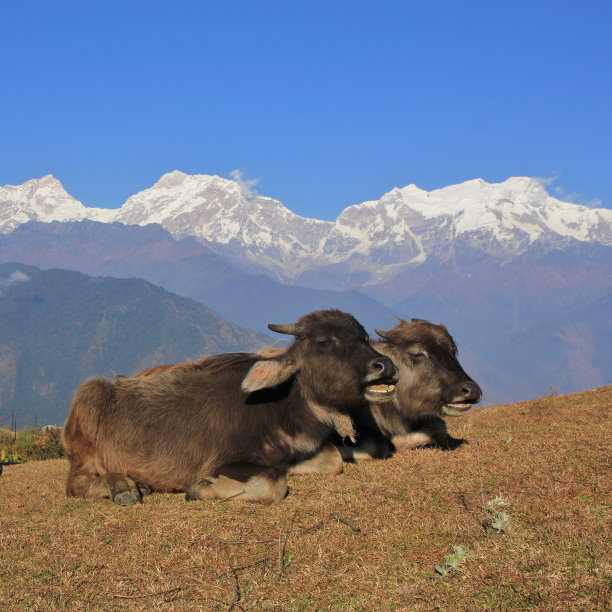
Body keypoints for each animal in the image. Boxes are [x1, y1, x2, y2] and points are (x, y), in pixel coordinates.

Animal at [62, 310, 396, 506]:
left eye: (364, 337)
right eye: (325, 341)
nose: (385, 365)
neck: (281, 409)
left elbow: (332, 460)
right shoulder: (223, 461)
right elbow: (274, 485)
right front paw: (203, 488)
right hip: (86, 418)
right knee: (75, 482)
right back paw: (123, 488)